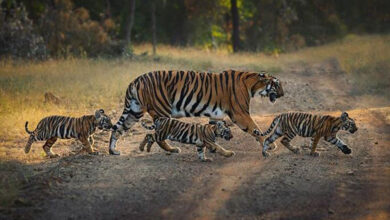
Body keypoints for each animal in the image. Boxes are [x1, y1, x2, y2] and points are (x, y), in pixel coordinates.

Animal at [109, 70, 284, 155]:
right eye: (277, 84)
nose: (283, 94)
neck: (253, 85)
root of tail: (135, 80)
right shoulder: (240, 114)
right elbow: (256, 129)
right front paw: (270, 145)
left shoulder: (216, 115)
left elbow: (213, 132)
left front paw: (213, 149)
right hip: (161, 111)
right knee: (159, 136)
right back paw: (172, 150)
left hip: (134, 112)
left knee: (117, 130)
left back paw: (113, 151)